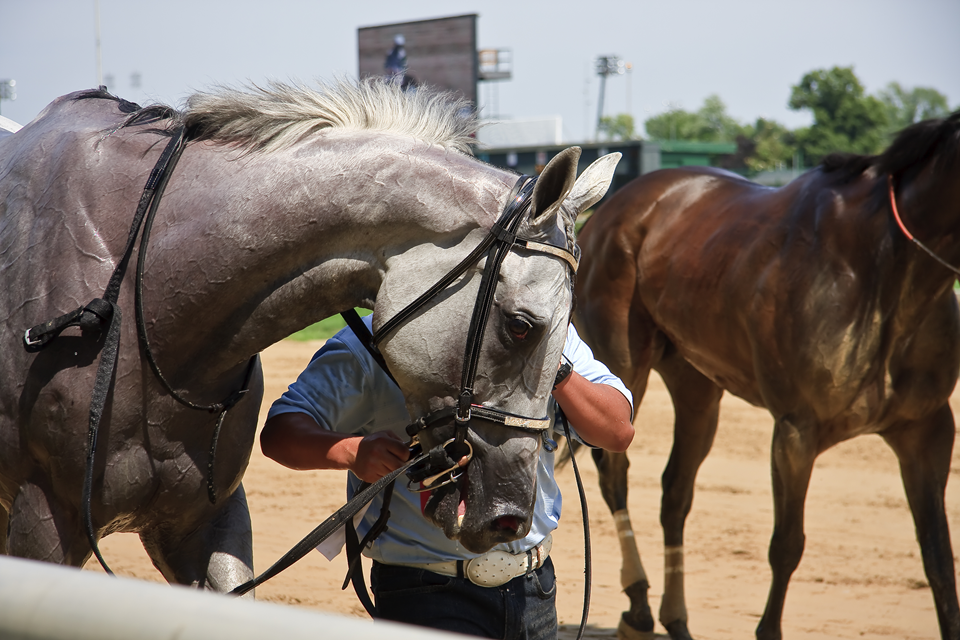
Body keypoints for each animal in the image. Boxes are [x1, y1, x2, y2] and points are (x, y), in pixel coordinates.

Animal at [573, 111, 960, 640]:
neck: (883, 270)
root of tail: (614, 207)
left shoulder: (927, 431)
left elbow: (939, 560)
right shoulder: (797, 429)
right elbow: (787, 545)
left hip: (697, 384)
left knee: (675, 492)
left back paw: (676, 618)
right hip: (624, 361)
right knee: (615, 472)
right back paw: (637, 603)